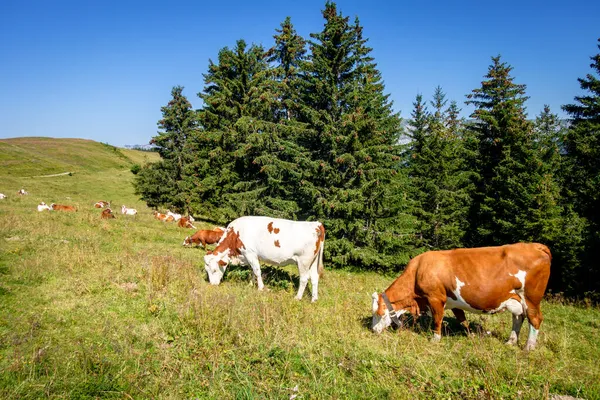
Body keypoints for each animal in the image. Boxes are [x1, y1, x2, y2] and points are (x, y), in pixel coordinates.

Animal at [370, 241, 552, 350]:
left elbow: (437, 319)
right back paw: (510, 341)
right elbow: (462, 320)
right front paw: (471, 335)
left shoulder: (435, 298)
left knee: (535, 319)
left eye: (379, 314)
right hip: (516, 299)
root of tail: (535, 245)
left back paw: (528, 347)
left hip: (531, 298)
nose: (373, 330)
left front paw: (435, 339)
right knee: (518, 318)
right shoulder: (454, 303)